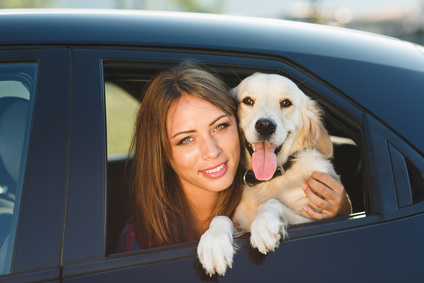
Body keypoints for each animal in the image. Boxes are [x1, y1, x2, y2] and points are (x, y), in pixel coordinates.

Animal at [197, 73, 340, 278]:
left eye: (286, 103)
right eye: (248, 101)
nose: (265, 125)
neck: (268, 180)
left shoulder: (314, 218)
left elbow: (272, 202)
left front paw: (263, 225)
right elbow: (221, 218)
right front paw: (213, 243)